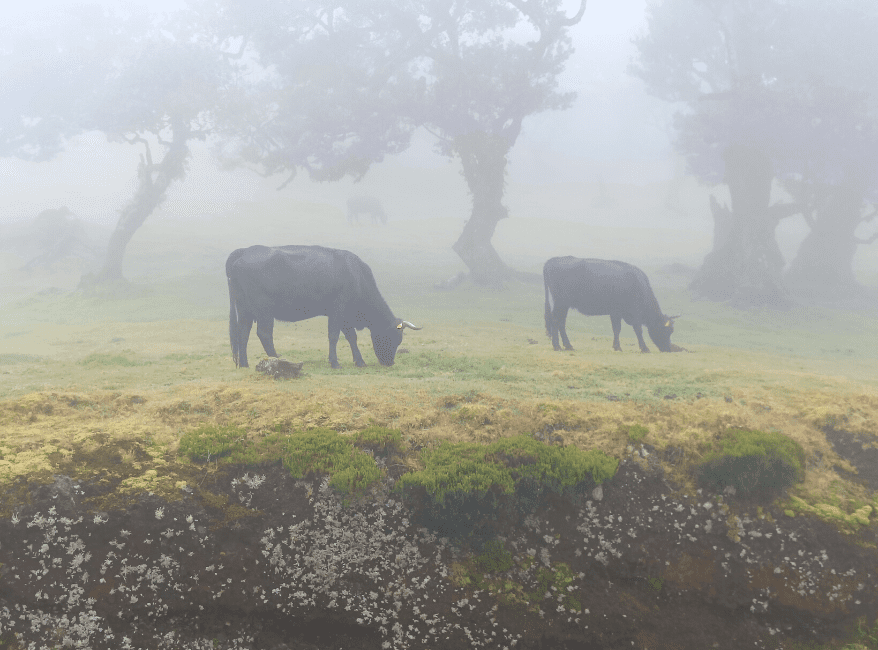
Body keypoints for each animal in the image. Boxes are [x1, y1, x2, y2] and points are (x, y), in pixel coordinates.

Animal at [544, 256, 688, 352]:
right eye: (667, 331)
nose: (668, 349)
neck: (640, 285)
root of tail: (554, 259)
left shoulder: (615, 312)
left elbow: (616, 329)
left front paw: (616, 346)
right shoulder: (634, 313)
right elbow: (638, 329)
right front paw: (644, 348)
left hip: (564, 305)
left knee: (561, 323)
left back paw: (568, 345)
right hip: (561, 303)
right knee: (556, 321)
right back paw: (557, 346)